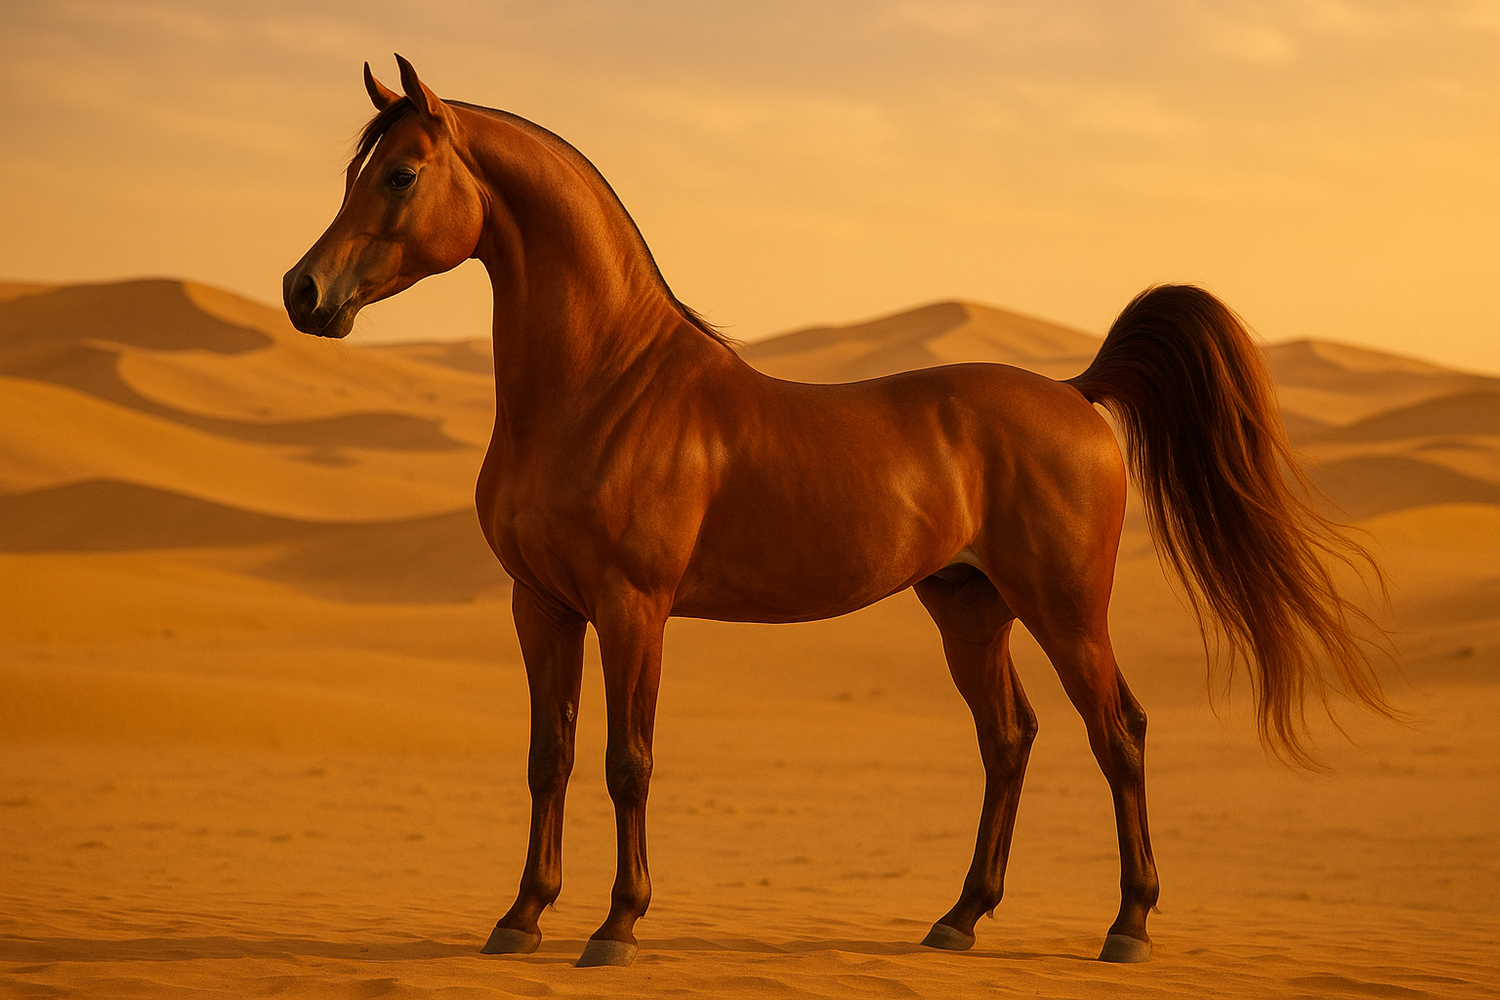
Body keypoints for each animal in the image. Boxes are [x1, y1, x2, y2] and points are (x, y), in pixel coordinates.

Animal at [284, 56, 1391, 969]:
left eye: (401, 175)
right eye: (357, 172)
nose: (303, 292)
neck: (604, 385)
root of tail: (1077, 393)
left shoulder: (633, 608)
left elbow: (626, 760)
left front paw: (618, 926)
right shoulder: (542, 605)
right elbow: (546, 757)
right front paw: (520, 917)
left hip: (1065, 608)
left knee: (1117, 732)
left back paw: (1128, 925)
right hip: (968, 608)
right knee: (1009, 738)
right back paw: (959, 919)